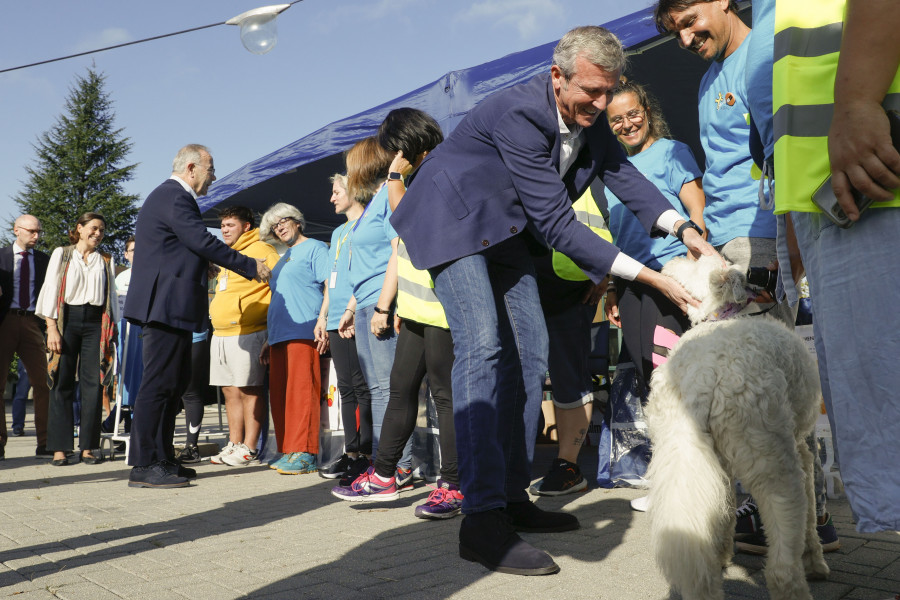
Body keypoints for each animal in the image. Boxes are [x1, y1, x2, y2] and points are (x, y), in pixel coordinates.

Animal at [648, 254, 828, 600]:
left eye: (695, 260)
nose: (675, 256)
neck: (724, 312)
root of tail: (701, 376)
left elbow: (726, 509)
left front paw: (723, 552)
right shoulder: (804, 446)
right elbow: (812, 513)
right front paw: (816, 561)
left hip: (683, 450)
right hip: (773, 457)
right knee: (782, 561)